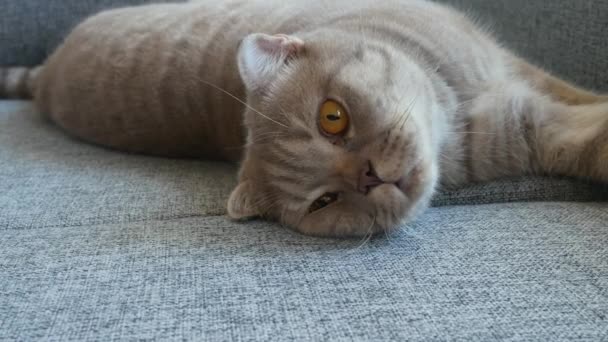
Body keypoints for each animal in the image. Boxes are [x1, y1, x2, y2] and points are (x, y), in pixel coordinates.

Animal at [1, 0, 608, 238]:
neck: (454, 105)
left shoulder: (513, 71)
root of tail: (47, 75)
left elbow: (576, 91)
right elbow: (590, 133)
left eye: (331, 117)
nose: (370, 177)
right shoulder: (534, 126)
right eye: (324, 202)